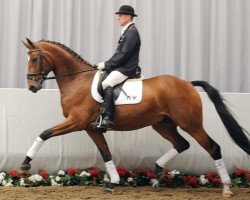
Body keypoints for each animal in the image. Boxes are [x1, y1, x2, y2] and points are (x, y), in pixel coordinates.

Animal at [20, 38, 249, 197]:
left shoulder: (76, 122)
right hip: (163, 124)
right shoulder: (91, 127)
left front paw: (25, 164)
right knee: (181, 144)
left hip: (190, 124)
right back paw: (157, 172)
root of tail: (187, 83)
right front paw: (112, 182)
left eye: (35, 59)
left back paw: (226, 188)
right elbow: (106, 153)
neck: (77, 80)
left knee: (213, 148)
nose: (32, 87)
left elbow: (44, 133)